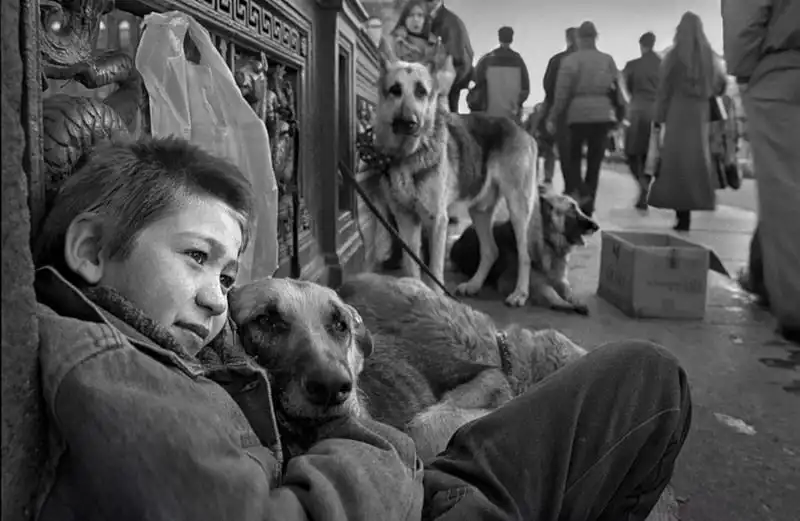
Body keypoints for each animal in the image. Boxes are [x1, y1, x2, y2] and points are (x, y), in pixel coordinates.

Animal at [364, 44, 539, 307]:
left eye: (421, 92)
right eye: (395, 90)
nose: (409, 123)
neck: (409, 155)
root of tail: (520, 128)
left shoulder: (437, 221)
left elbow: (434, 270)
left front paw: (437, 300)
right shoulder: (406, 220)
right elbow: (411, 266)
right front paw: (414, 293)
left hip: (518, 209)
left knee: (524, 255)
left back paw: (520, 293)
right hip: (479, 210)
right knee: (491, 250)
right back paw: (474, 284)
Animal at [450, 190, 599, 314]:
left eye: (578, 208)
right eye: (572, 209)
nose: (596, 226)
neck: (547, 242)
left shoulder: (560, 280)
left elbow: (569, 292)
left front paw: (576, 301)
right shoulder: (517, 282)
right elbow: (548, 291)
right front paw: (562, 303)